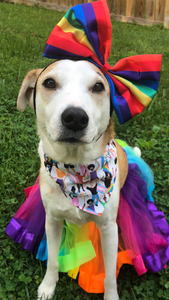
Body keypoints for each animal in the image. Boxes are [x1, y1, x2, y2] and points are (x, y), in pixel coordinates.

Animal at [16, 59, 128, 300]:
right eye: (49, 83)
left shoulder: (109, 229)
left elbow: (109, 275)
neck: (76, 171)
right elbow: (52, 260)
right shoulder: (52, 221)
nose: (75, 117)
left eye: (98, 86)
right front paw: (48, 285)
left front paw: (111, 295)